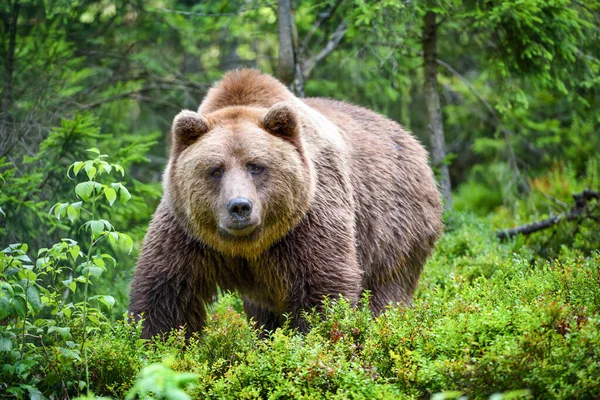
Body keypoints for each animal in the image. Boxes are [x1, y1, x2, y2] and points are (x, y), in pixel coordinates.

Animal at [130, 69, 440, 338]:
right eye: (215, 169)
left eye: (256, 166)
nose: (239, 207)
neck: (247, 246)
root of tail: (414, 143)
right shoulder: (189, 234)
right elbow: (166, 297)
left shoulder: (306, 220)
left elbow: (322, 292)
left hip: (395, 227)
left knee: (387, 290)